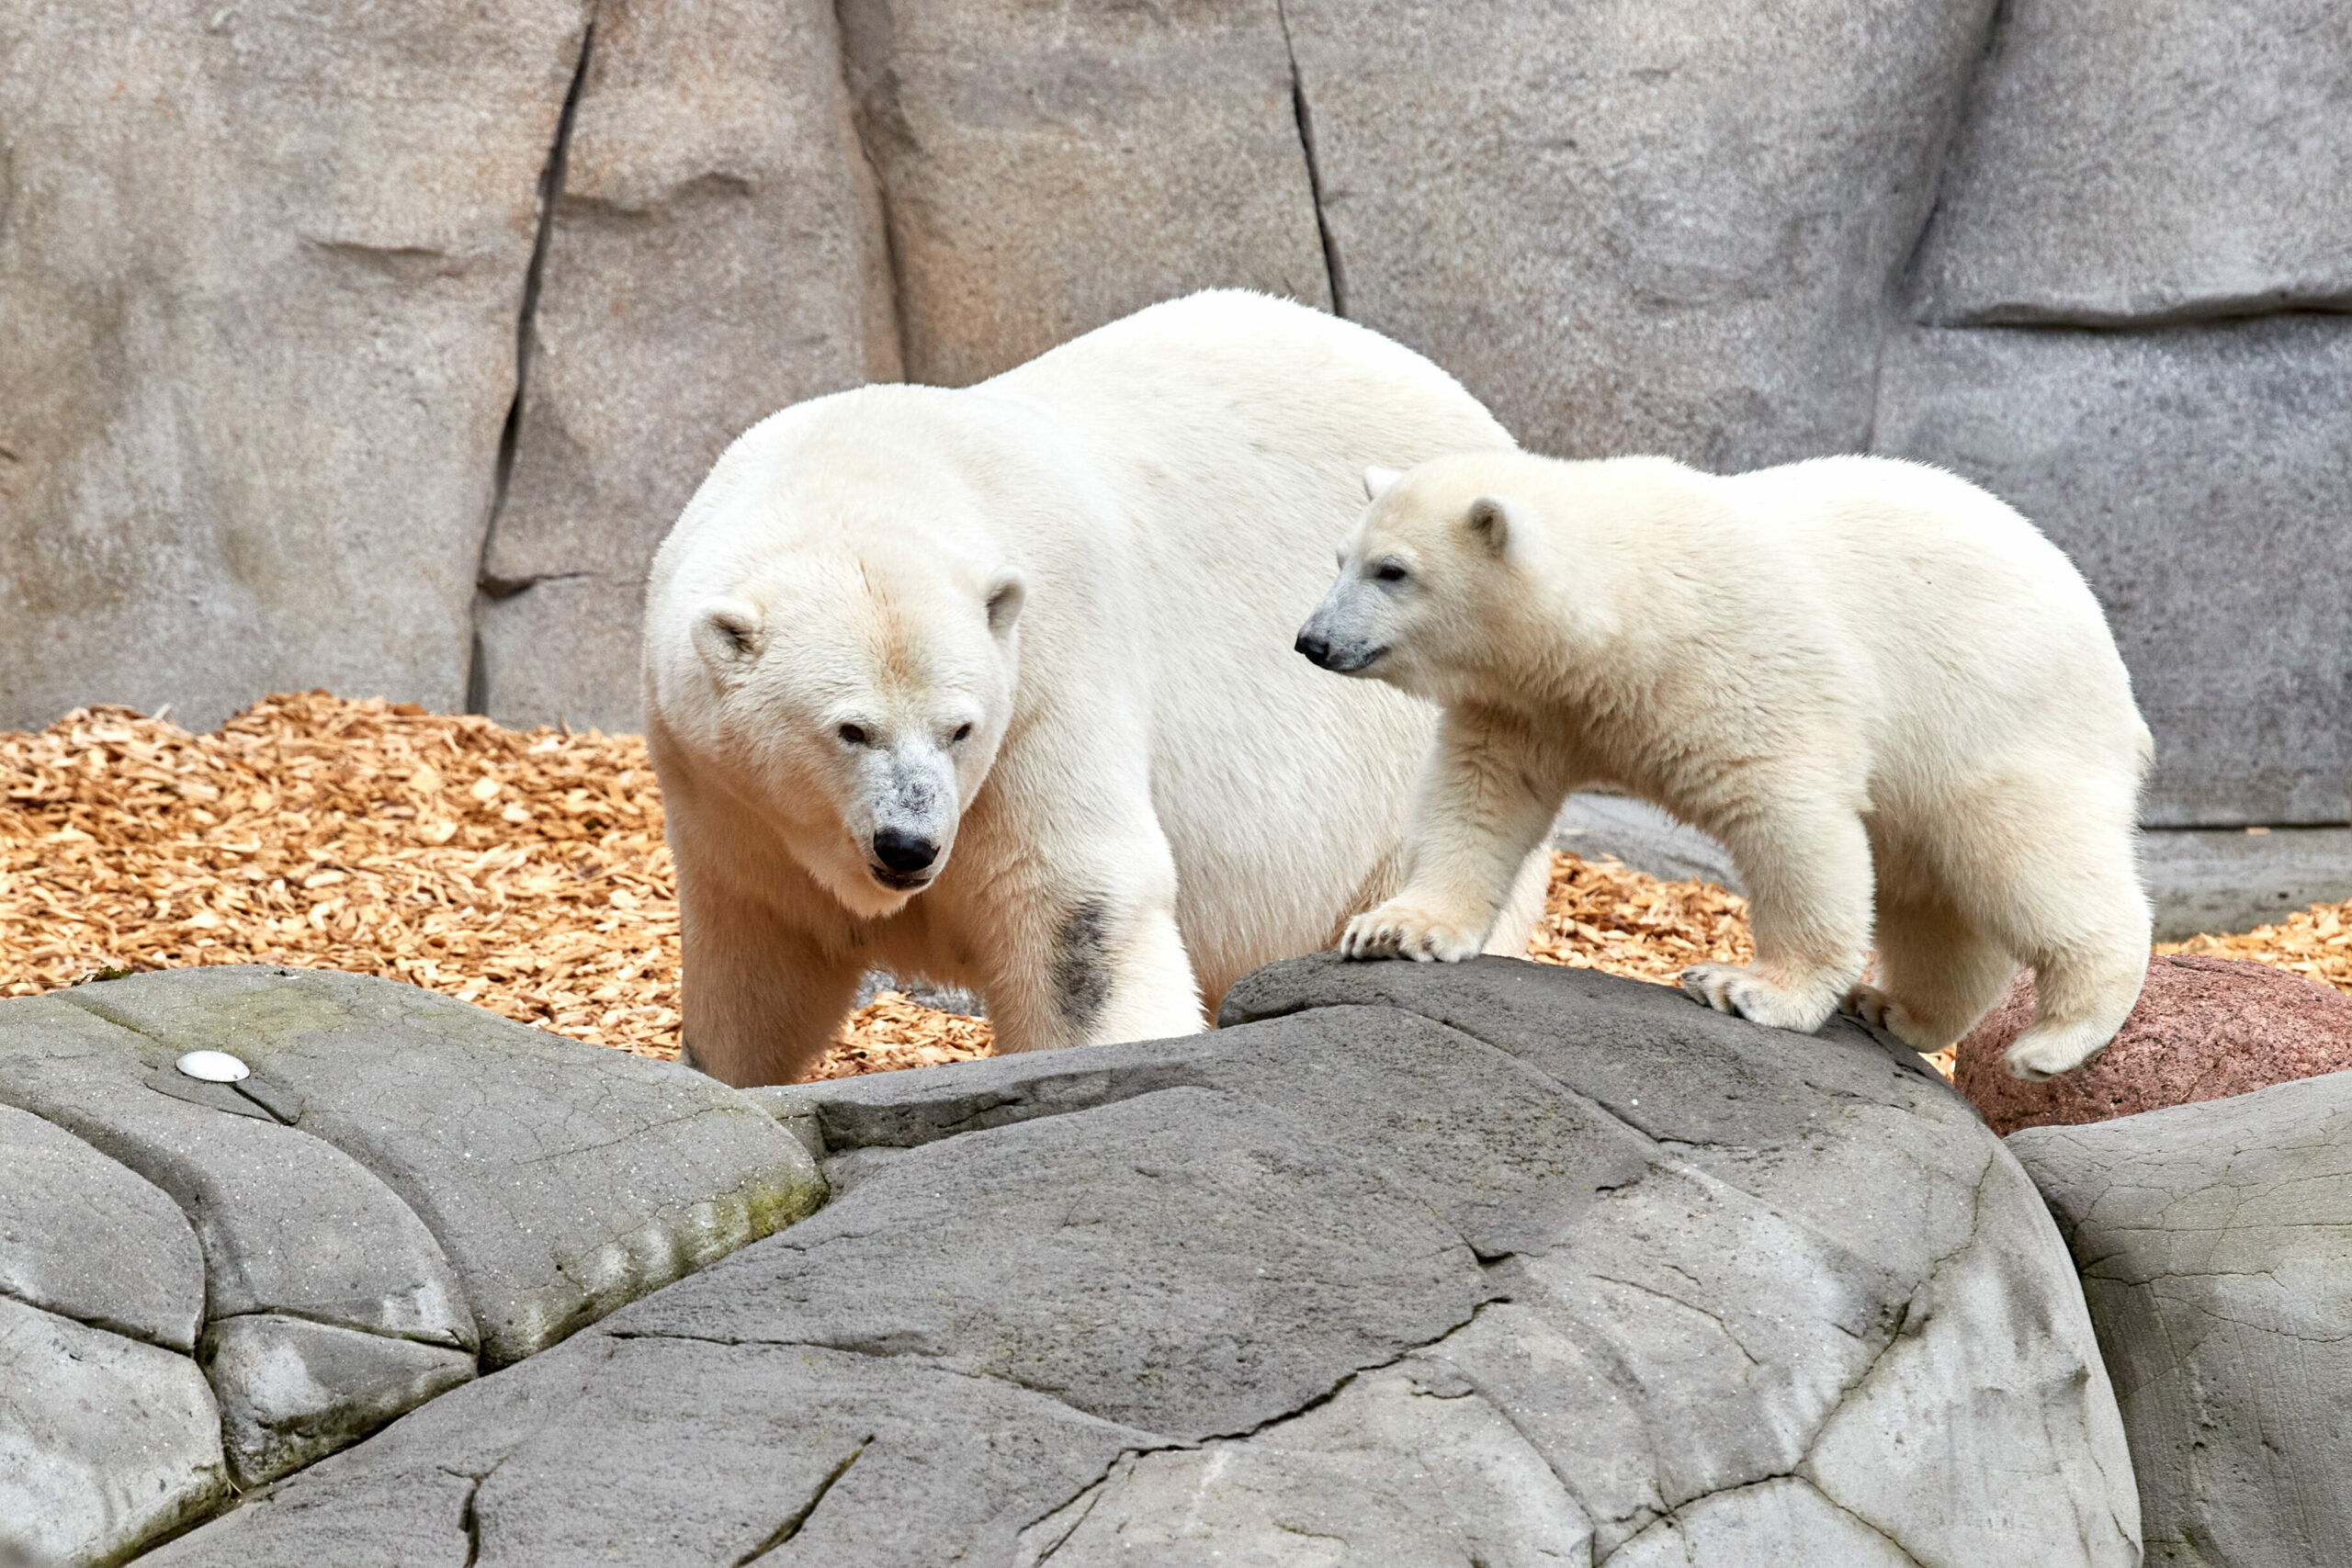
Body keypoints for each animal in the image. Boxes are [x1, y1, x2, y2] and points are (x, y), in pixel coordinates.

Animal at [653, 291, 1552, 1081]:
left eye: (959, 729)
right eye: (850, 729)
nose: (910, 846)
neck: (868, 467)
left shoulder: (1047, 677)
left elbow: (1074, 914)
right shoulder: (728, 803)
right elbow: (756, 955)